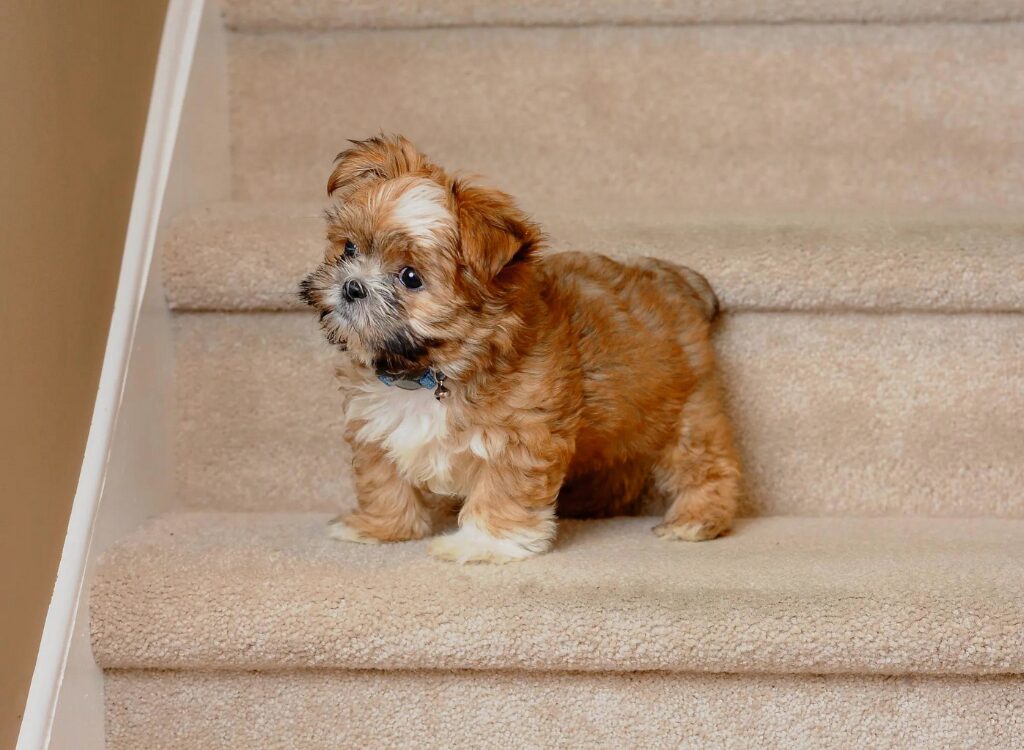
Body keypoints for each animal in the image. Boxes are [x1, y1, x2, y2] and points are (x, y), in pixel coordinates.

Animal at [299, 135, 741, 561]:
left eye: (410, 277)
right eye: (349, 249)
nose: (351, 286)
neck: (430, 371)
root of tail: (673, 282)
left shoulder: (519, 438)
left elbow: (502, 492)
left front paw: (483, 544)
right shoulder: (373, 426)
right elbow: (382, 479)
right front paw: (380, 527)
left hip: (687, 413)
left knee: (706, 465)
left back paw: (697, 519)